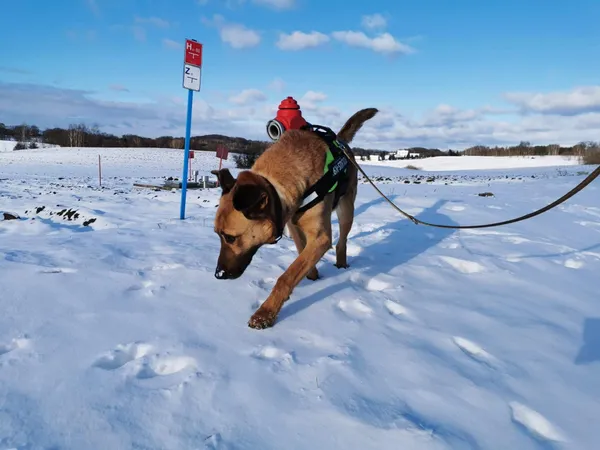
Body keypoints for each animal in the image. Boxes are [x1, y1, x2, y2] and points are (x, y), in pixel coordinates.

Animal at [213, 107, 378, 328]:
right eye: (218, 234)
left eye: (230, 237)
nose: (218, 274)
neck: (279, 185)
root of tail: (341, 141)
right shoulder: (292, 224)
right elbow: (301, 254)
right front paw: (313, 276)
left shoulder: (320, 237)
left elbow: (287, 276)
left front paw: (265, 313)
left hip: (346, 210)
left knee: (341, 241)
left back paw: (341, 265)